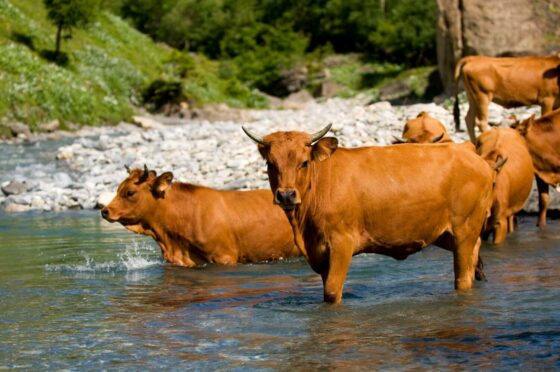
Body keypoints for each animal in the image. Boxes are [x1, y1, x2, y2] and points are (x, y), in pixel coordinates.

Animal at [243, 123, 492, 304]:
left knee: (463, 277)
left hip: (464, 230)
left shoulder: (341, 242)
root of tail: (467, 151)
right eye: (270, 164)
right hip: (445, 234)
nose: (286, 195)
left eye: (304, 162)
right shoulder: (319, 252)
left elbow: (332, 292)